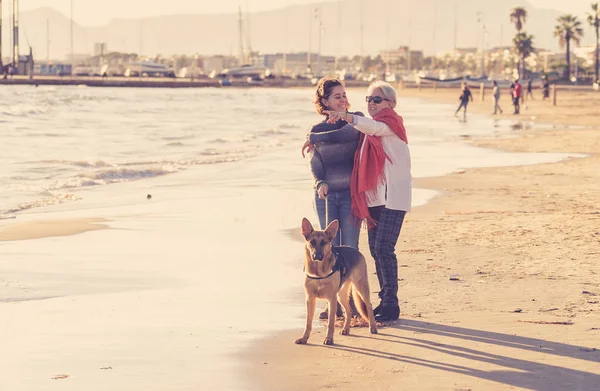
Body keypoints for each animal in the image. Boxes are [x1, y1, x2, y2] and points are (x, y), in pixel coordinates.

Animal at [294, 217, 378, 346]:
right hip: (341, 295)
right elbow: (308, 322)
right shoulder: (310, 299)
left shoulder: (331, 300)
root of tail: (356, 251)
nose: (317, 256)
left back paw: (372, 327)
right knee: (349, 311)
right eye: (312, 242)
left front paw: (329, 338)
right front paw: (304, 338)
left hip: (360, 287)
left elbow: (330, 322)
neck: (319, 273)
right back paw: (346, 329)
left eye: (324, 242)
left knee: (368, 306)